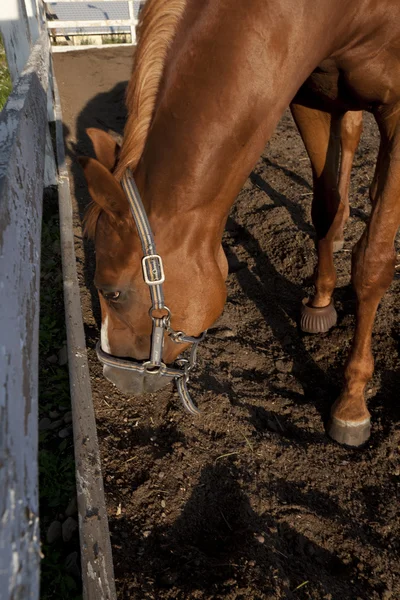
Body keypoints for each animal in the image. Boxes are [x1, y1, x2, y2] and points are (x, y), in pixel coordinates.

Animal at [79, 0, 400, 446]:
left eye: (112, 292)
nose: (112, 373)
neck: (343, 15)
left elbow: (372, 262)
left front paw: (351, 402)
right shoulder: (313, 100)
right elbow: (324, 208)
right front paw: (320, 301)